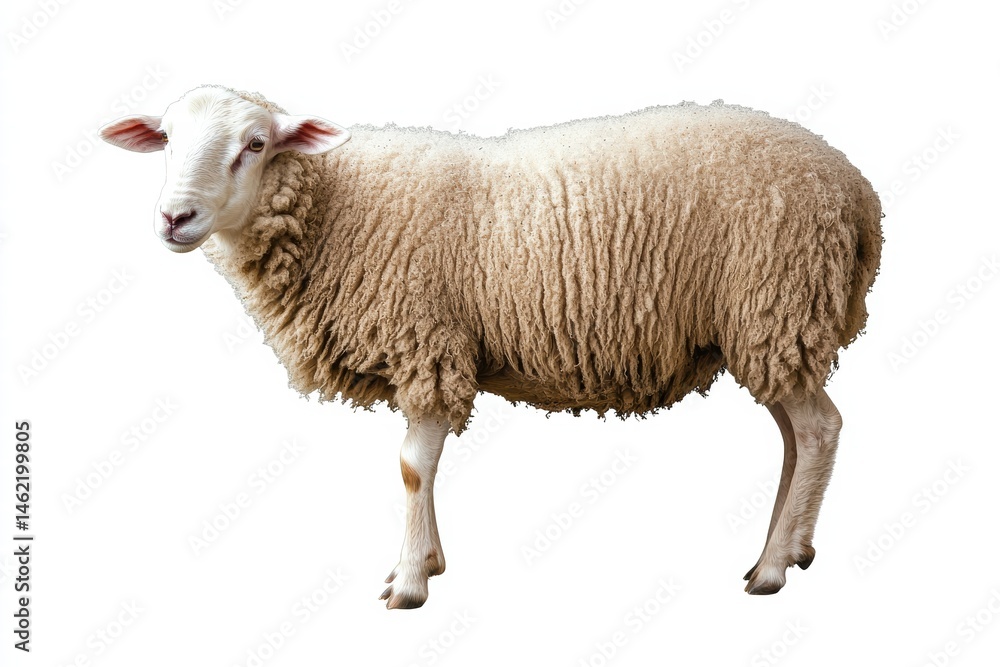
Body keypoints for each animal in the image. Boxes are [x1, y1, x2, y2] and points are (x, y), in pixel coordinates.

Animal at [99, 84, 883, 608]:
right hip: (772, 329)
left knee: (820, 428)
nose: (174, 218)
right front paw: (428, 560)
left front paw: (410, 580)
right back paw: (791, 546)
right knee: (794, 434)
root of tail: (856, 191)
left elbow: (412, 466)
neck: (338, 208)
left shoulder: (428, 342)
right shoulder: (433, 350)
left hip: (775, 304)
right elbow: (420, 468)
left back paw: (773, 566)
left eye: (255, 144)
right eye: (166, 140)